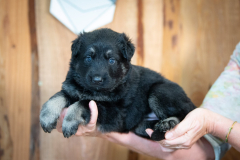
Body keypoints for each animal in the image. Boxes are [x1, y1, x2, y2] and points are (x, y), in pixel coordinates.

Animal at [39, 28, 195, 141]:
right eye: (88, 58)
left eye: (111, 60)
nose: (97, 80)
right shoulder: (72, 89)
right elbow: (57, 97)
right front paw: (46, 116)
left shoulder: (115, 112)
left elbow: (83, 103)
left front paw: (70, 121)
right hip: (142, 125)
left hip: (159, 90)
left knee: (184, 114)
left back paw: (168, 123)